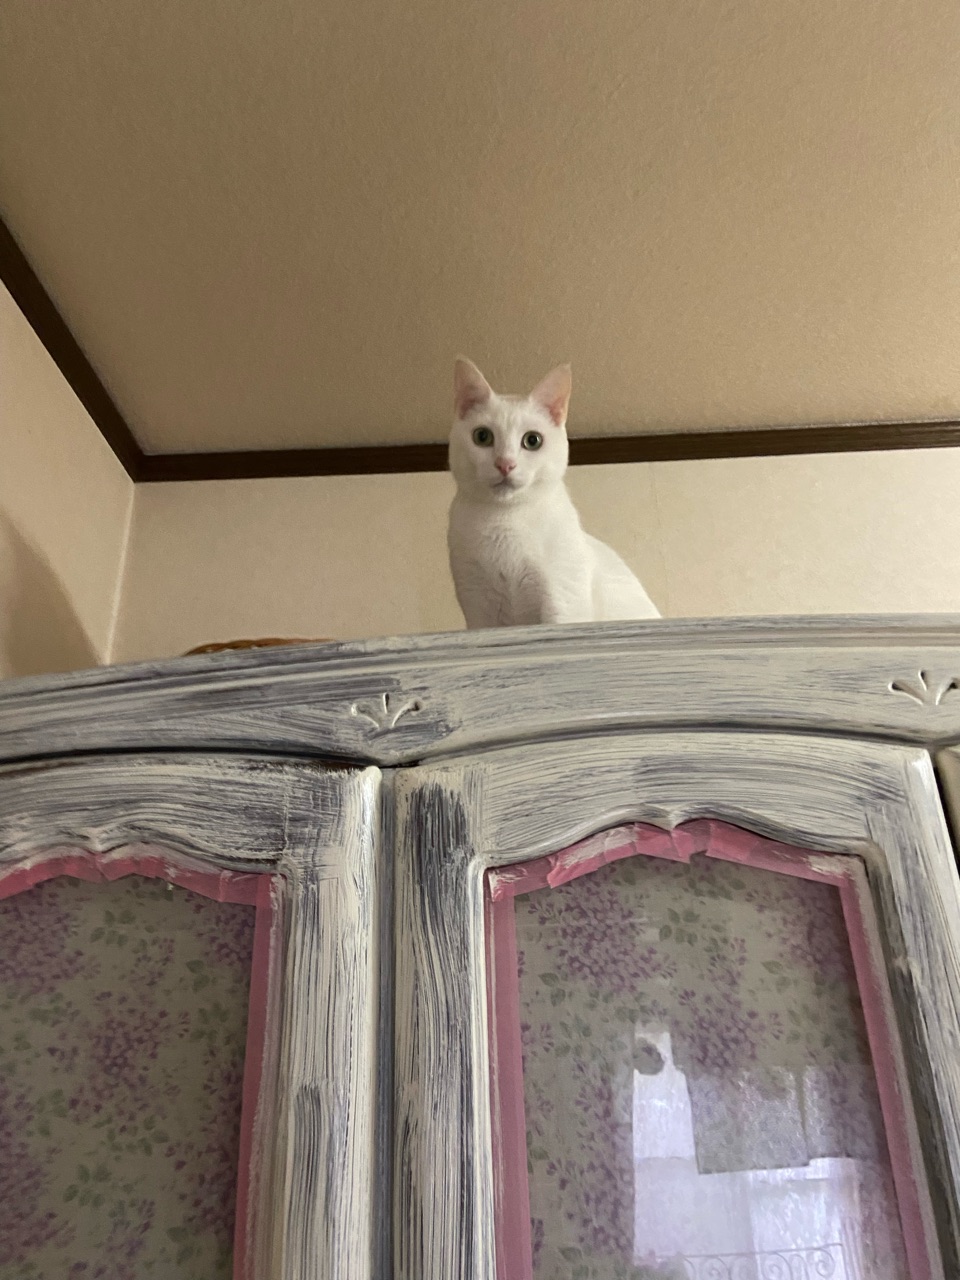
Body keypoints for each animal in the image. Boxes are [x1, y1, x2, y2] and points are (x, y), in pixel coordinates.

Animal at [447, 357, 660, 628]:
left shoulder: (562, 600)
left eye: (533, 440)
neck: (505, 522)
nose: (505, 464)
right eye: (482, 436)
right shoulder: (479, 608)